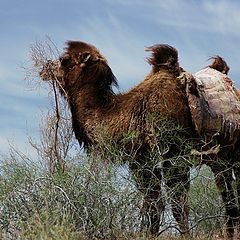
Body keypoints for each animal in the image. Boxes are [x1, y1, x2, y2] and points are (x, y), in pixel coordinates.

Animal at [39, 40, 197, 234]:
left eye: (64, 59)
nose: (45, 68)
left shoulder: (158, 154)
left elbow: (170, 204)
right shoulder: (143, 159)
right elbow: (154, 202)